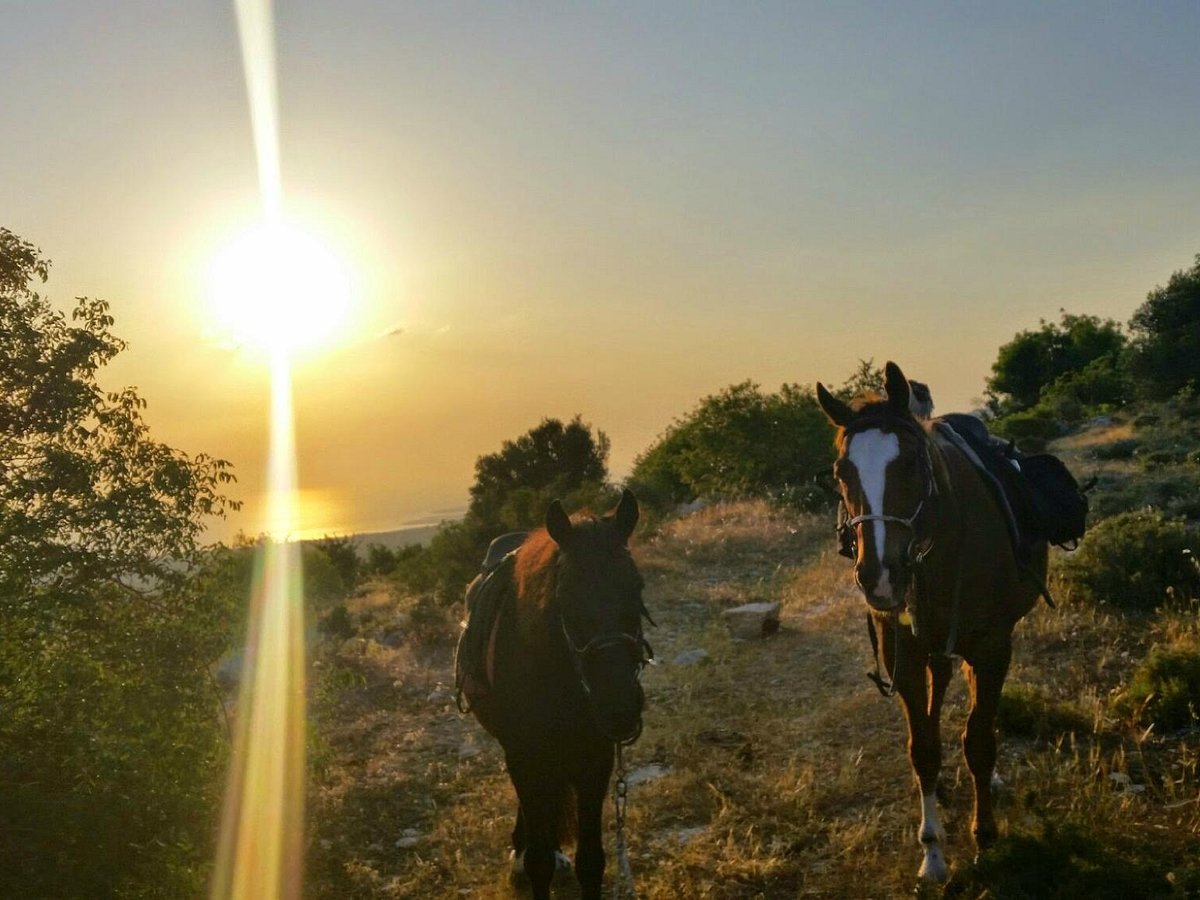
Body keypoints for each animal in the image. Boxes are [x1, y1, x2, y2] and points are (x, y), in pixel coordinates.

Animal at [463, 489, 652, 900]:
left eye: (637, 586)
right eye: (563, 596)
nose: (618, 708)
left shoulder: (597, 758)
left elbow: (592, 861)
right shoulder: (524, 756)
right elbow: (538, 862)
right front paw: (529, 858)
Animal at [820, 362, 1046, 883]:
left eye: (910, 463)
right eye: (842, 473)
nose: (880, 576)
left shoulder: (992, 647)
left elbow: (979, 740)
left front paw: (985, 835)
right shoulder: (901, 651)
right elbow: (922, 746)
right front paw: (933, 852)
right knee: (938, 689)